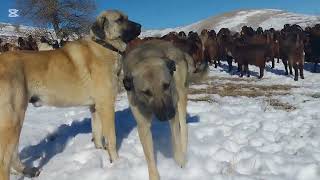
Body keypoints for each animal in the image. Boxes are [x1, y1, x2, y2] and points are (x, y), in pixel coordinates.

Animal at [0, 10, 141, 180]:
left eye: (127, 18)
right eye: (120, 20)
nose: (141, 26)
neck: (105, 45)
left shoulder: (95, 107)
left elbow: (97, 133)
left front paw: (99, 153)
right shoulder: (106, 104)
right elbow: (111, 138)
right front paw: (116, 162)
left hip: (15, 119)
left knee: (13, 153)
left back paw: (27, 170)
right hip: (13, 118)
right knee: (4, 160)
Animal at [122, 39, 202, 180]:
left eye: (166, 85)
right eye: (146, 92)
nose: (168, 114)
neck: (144, 57)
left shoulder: (173, 110)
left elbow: (176, 140)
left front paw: (180, 164)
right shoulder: (143, 125)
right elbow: (149, 157)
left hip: (180, 97)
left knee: (183, 129)